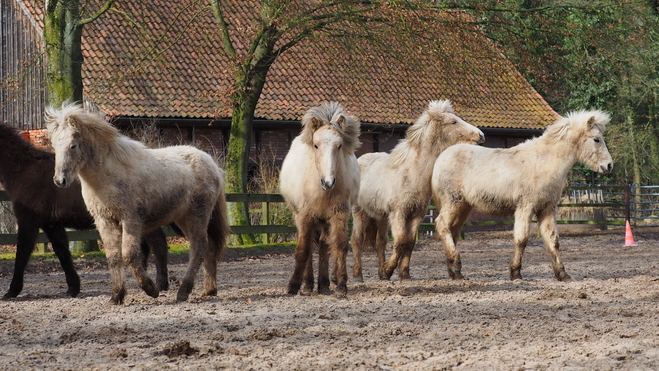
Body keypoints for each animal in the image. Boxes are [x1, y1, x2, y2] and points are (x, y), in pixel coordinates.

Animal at [0, 123, 170, 300]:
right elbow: (63, 253)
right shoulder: (52, 225)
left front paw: (12, 290)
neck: (25, 171)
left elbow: (22, 254)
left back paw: (160, 284)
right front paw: (73, 287)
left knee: (158, 244)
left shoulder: (29, 222)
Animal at [47, 102, 232, 306]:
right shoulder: (105, 221)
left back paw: (184, 291)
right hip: (183, 219)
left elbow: (129, 255)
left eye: (72, 145)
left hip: (197, 216)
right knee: (209, 247)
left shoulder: (131, 219)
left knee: (199, 248)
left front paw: (151, 289)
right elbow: (113, 257)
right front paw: (116, 296)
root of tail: (212, 164)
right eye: (54, 145)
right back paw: (209, 289)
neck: (108, 175)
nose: (60, 180)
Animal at [278, 101, 360, 296]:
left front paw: (341, 284)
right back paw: (309, 285)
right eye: (316, 145)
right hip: (302, 216)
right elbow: (303, 249)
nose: (328, 182)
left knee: (324, 246)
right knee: (310, 246)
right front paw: (294, 285)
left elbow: (340, 245)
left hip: (325, 220)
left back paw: (323, 284)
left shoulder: (339, 214)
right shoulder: (305, 216)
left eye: (340, 145)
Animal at [350, 99, 484, 282]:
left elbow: (409, 242)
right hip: (360, 213)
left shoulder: (416, 215)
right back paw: (358, 275)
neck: (411, 173)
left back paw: (381, 273)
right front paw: (390, 270)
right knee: (356, 240)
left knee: (380, 242)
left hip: (381, 216)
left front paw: (403, 274)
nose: (481, 135)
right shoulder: (399, 213)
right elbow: (400, 241)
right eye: (453, 122)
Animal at [434, 109, 612, 282]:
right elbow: (521, 240)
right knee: (442, 225)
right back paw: (455, 267)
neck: (543, 163)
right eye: (596, 139)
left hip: (463, 207)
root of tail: (441, 158)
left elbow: (552, 240)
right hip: (453, 202)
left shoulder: (547, 209)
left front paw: (563, 275)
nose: (609, 165)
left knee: (452, 231)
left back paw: (454, 272)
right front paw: (516, 273)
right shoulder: (525, 208)